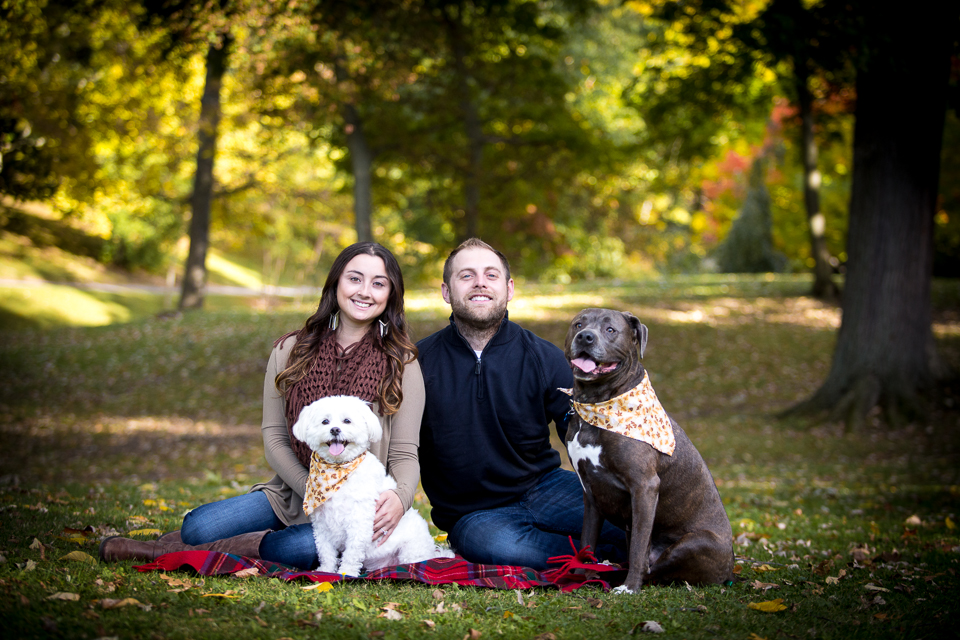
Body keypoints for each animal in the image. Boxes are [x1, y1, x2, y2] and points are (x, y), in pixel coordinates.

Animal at [288, 396, 454, 576]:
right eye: (325, 421)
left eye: (347, 421)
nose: (335, 430)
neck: (339, 470)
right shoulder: (321, 525)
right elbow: (325, 552)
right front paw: (326, 571)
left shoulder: (359, 521)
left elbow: (352, 552)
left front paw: (346, 573)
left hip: (410, 550)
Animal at [564, 308, 736, 592]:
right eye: (578, 324)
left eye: (610, 330)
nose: (585, 337)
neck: (597, 402)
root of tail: (731, 568)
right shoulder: (590, 492)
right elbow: (586, 542)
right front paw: (578, 578)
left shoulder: (644, 487)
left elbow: (637, 548)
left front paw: (630, 587)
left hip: (695, 542)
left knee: (653, 567)